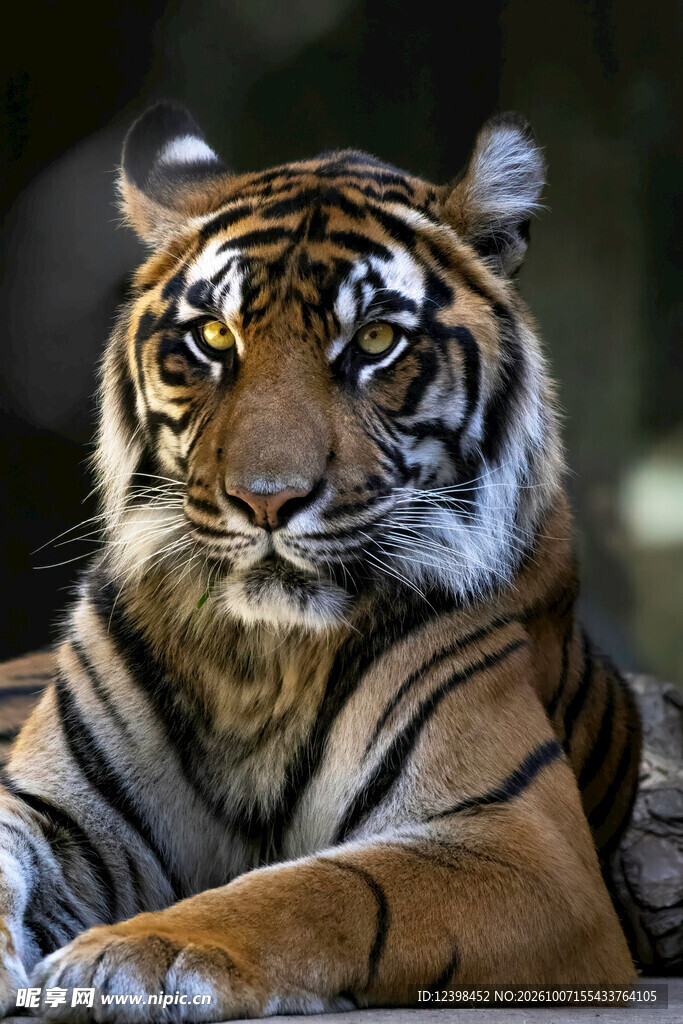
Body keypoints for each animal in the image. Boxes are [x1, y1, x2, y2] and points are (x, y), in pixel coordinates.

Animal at [0, 102, 641, 1020]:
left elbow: (324, 888)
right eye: (214, 336)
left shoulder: (522, 845)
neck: (257, 659)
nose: (266, 500)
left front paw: (135, 953)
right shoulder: (57, 812)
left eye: (373, 341)